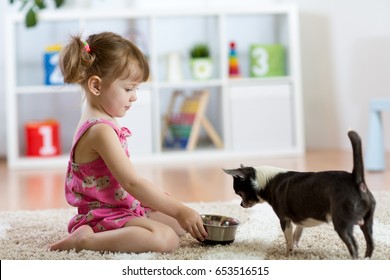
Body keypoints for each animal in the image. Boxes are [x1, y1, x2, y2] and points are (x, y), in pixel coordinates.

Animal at [224, 131, 376, 258]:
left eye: (239, 193)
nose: (241, 204)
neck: (266, 181)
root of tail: (356, 180)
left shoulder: (284, 220)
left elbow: (288, 239)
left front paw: (287, 255)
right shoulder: (300, 217)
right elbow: (297, 233)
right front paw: (295, 247)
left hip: (342, 224)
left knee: (354, 245)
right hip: (367, 222)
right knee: (370, 243)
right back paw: (367, 258)